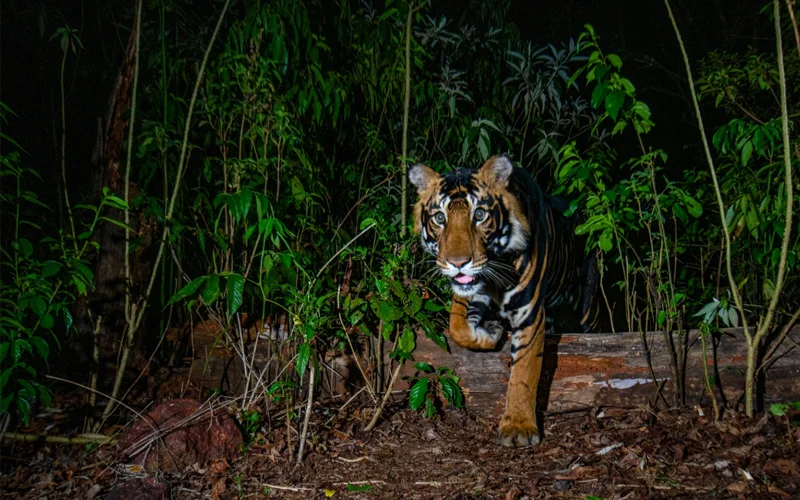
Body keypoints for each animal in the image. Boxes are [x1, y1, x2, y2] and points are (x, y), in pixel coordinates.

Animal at [409, 154, 601, 447]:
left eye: (479, 215)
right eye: (440, 218)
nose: (457, 263)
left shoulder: (529, 314)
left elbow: (524, 371)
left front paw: (518, 428)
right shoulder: (470, 292)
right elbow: (457, 328)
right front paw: (490, 332)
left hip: (589, 305)